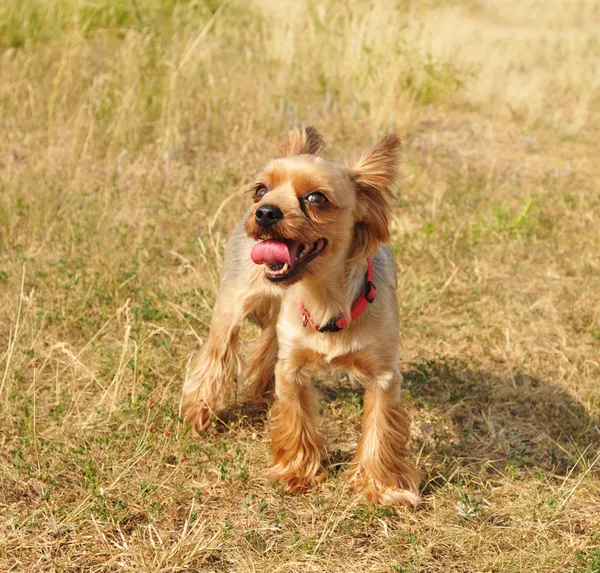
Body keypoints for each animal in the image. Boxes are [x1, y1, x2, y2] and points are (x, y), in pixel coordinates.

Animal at [183, 126, 422, 504]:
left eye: (316, 198)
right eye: (260, 189)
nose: (265, 212)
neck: (325, 296)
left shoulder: (383, 376)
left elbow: (380, 429)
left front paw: (379, 486)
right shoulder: (292, 367)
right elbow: (295, 416)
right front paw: (295, 472)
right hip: (231, 306)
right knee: (214, 356)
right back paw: (198, 413)